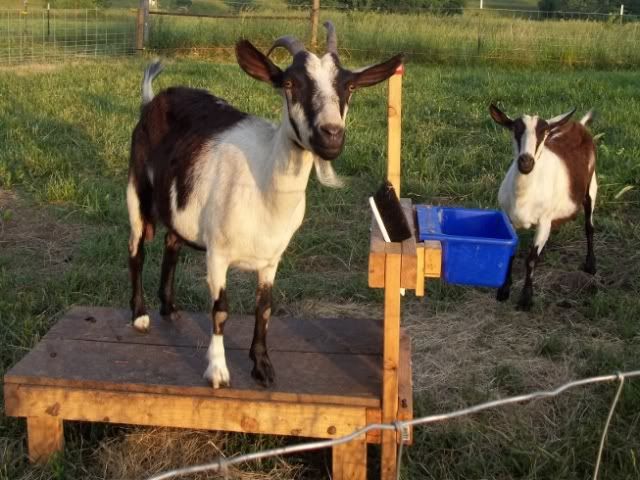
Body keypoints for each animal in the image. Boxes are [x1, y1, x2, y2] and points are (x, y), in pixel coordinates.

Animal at [126, 22, 403, 388]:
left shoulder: (272, 258)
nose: (330, 135)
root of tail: (152, 100)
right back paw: (140, 315)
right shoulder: (218, 254)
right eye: (289, 84)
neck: (263, 189)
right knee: (137, 249)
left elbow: (265, 308)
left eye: (350, 86)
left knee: (172, 243)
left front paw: (262, 367)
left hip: (181, 205)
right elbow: (221, 309)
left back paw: (169, 308)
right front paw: (218, 371)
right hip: (136, 190)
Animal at [489, 104, 597, 310]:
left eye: (544, 132)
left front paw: (526, 300)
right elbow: (511, 253)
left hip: (592, 186)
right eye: (515, 129)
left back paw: (591, 266)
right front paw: (503, 291)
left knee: (589, 226)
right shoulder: (508, 219)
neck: (523, 197)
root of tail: (578, 124)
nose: (526, 162)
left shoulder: (543, 221)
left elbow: (530, 260)